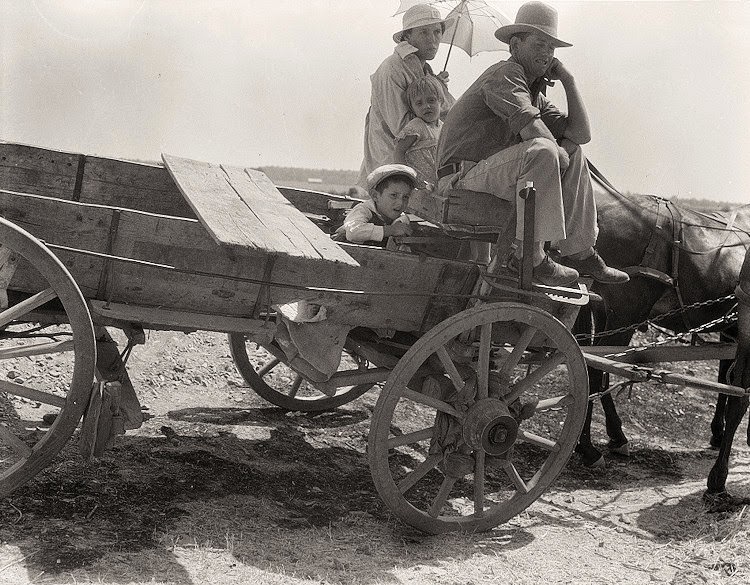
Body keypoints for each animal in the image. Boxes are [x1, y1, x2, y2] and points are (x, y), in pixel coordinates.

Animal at [580, 167, 748, 504]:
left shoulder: (731, 332)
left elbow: (725, 379)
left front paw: (717, 432)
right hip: (623, 316)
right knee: (594, 370)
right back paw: (590, 448)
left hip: (603, 313)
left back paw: (613, 437)